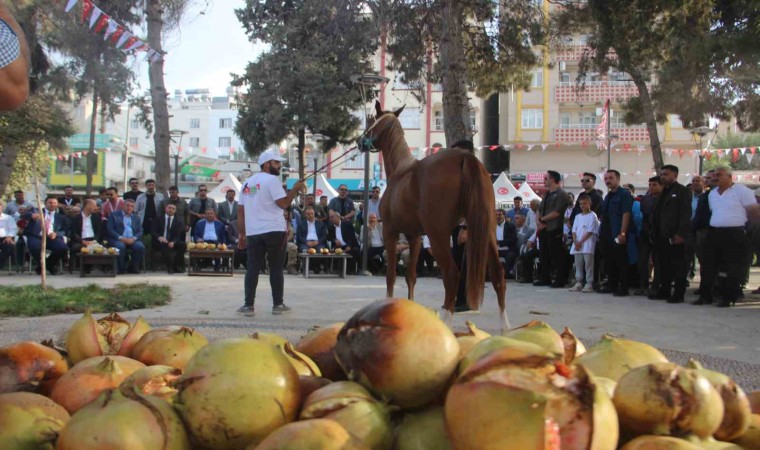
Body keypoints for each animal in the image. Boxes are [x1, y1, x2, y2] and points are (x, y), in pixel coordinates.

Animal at [358, 102, 510, 328]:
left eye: (370, 121)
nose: (360, 142)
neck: (401, 171)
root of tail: (465, 157)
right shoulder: (414, 237)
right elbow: (411, 276)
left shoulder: (390, 232)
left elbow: (391, 276)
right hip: (487, 229)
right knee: (498, 273)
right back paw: (505, 328)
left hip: (438, 236)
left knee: (452, 274)